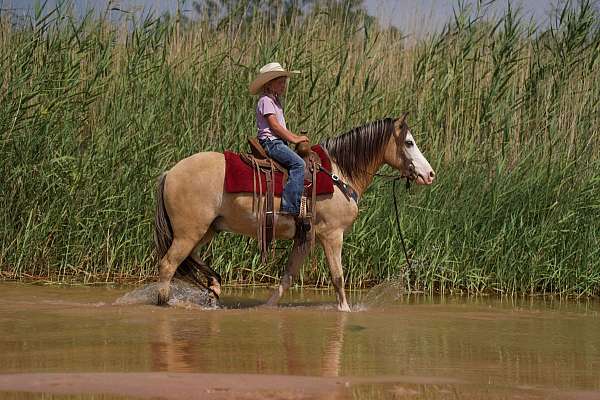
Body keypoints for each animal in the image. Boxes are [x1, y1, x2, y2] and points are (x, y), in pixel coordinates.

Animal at [154, 114, 436, 310]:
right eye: (409, 142)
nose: (430, 174)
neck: (338, 175)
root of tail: (170, 172)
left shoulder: (304, 237)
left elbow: (287, 277)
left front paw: (266, 308)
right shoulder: (332, 236)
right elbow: (338, 277)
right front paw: (345, 311)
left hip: (205, 230)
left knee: (191, 259)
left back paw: (214, 285)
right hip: (189, 233)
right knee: (168, 266)